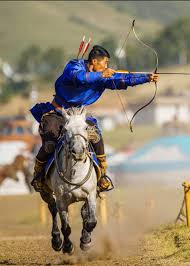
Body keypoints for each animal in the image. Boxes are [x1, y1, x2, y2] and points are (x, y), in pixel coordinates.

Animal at [40, 107, 98, 255]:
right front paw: (67, 246)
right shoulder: (62, 201)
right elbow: (66, 227)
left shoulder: (91, 194)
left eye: (85, 127)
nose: (78, 151)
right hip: (46, 192)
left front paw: (85, 241)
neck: (75, 173)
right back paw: (56, 241)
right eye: (65, 129)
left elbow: (91, 221)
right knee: (52, 208)